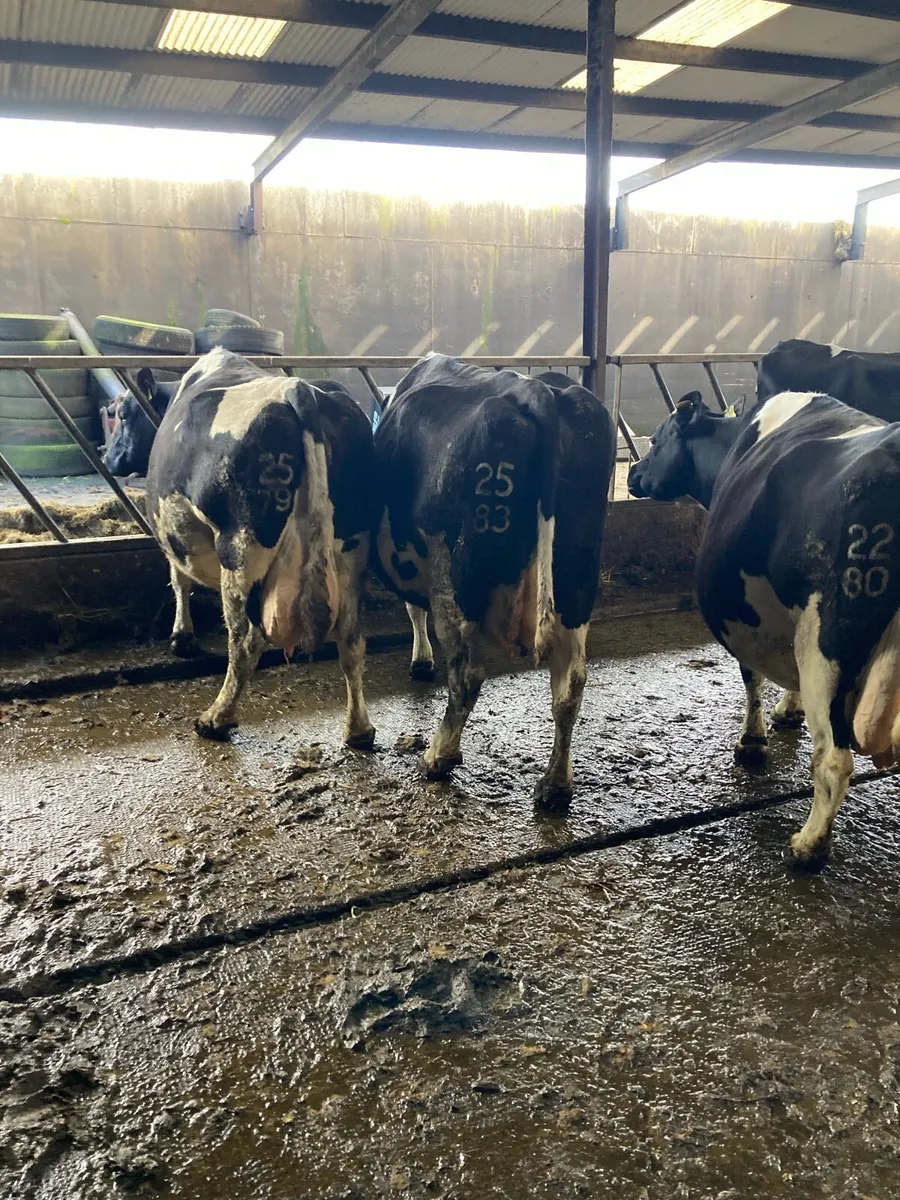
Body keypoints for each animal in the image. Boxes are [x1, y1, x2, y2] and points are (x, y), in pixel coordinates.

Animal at [145, 347, 377, 746]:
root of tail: (301, 390)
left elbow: (180, 580)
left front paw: (182, 637)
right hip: (353, 553)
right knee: (351, 640)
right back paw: (359, 730)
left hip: (240, 548)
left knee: (244, 644)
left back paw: (215, 719)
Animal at [373, 354, 615, 807]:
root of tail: (538, 391)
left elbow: (412, 608)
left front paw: (420, 661)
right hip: (576, 577)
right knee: (571, 682)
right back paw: (555, 786)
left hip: (455, 578)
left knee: (467, 673)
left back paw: (438, 757)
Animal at [631, 387, 900, 866]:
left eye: (656, 441)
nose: (633, 474)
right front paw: (789, 710)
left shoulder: (748, 616)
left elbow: (751, 674)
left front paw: (752, 742)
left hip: (828, 640)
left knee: (834, 759)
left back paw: (808, 846)